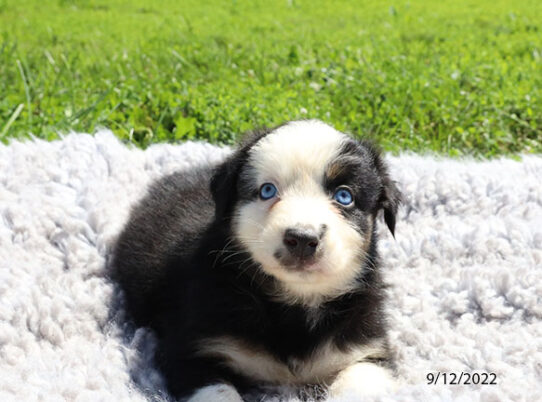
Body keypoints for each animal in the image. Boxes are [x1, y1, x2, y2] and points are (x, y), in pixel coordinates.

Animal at [113, 120, 404, 402]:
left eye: (344, 196)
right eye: (267, 190)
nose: (302, 238)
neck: (294, 305)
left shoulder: (367, 349)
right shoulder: (189, 347)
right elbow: (218, 393)